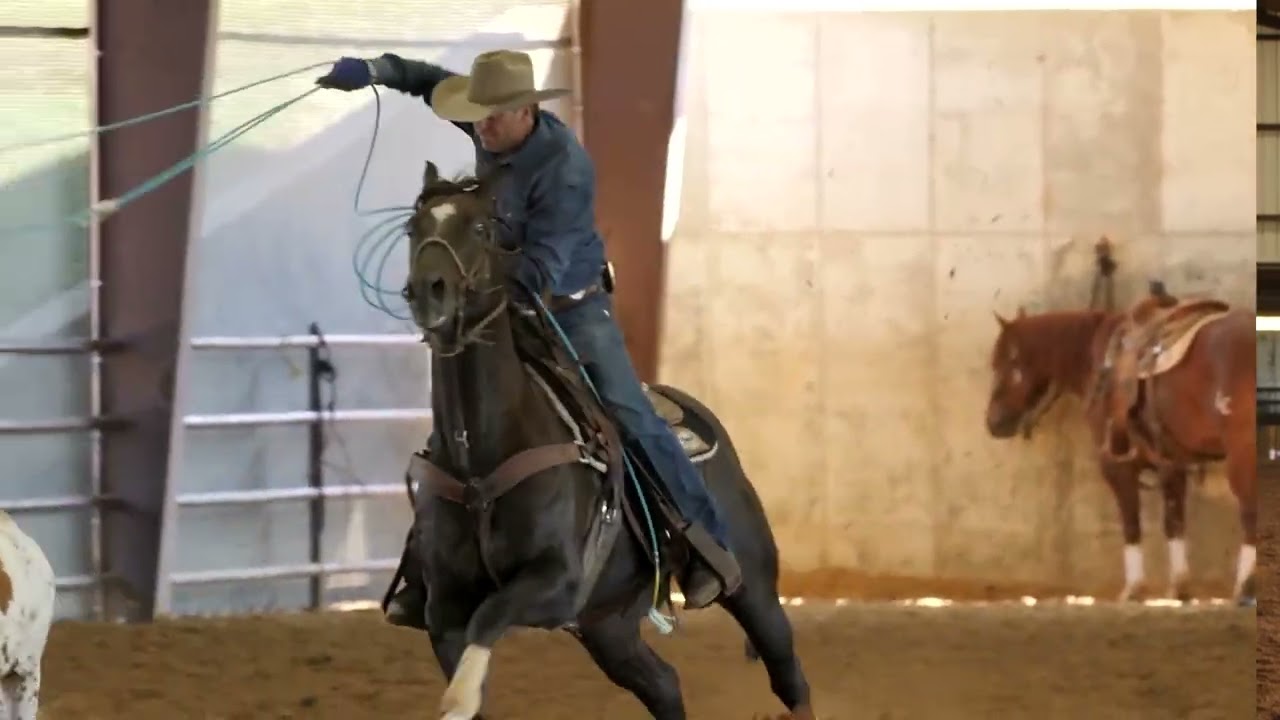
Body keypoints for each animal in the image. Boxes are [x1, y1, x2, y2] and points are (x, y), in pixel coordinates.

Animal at [397, 161, 815, 720]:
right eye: (412, 229)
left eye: (482, 228)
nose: (429, 290)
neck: (478, 458)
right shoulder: (444, 608)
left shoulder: (557, 581)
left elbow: (490, 616)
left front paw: (460, 696)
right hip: (608, 627)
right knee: (663, 684)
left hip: (755, 588)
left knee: (788, 675)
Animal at [983, 288, 1256, 606]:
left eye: (1004, 365)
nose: (993, 423)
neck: (1098, 361)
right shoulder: (1170, 461)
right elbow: (1174, 521)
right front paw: (1179, 588)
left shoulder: (1117, 464)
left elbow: (1131, 522)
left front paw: (1133, 588)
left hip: (1242, 454)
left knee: (1249, 512)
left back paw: (1245, 589)